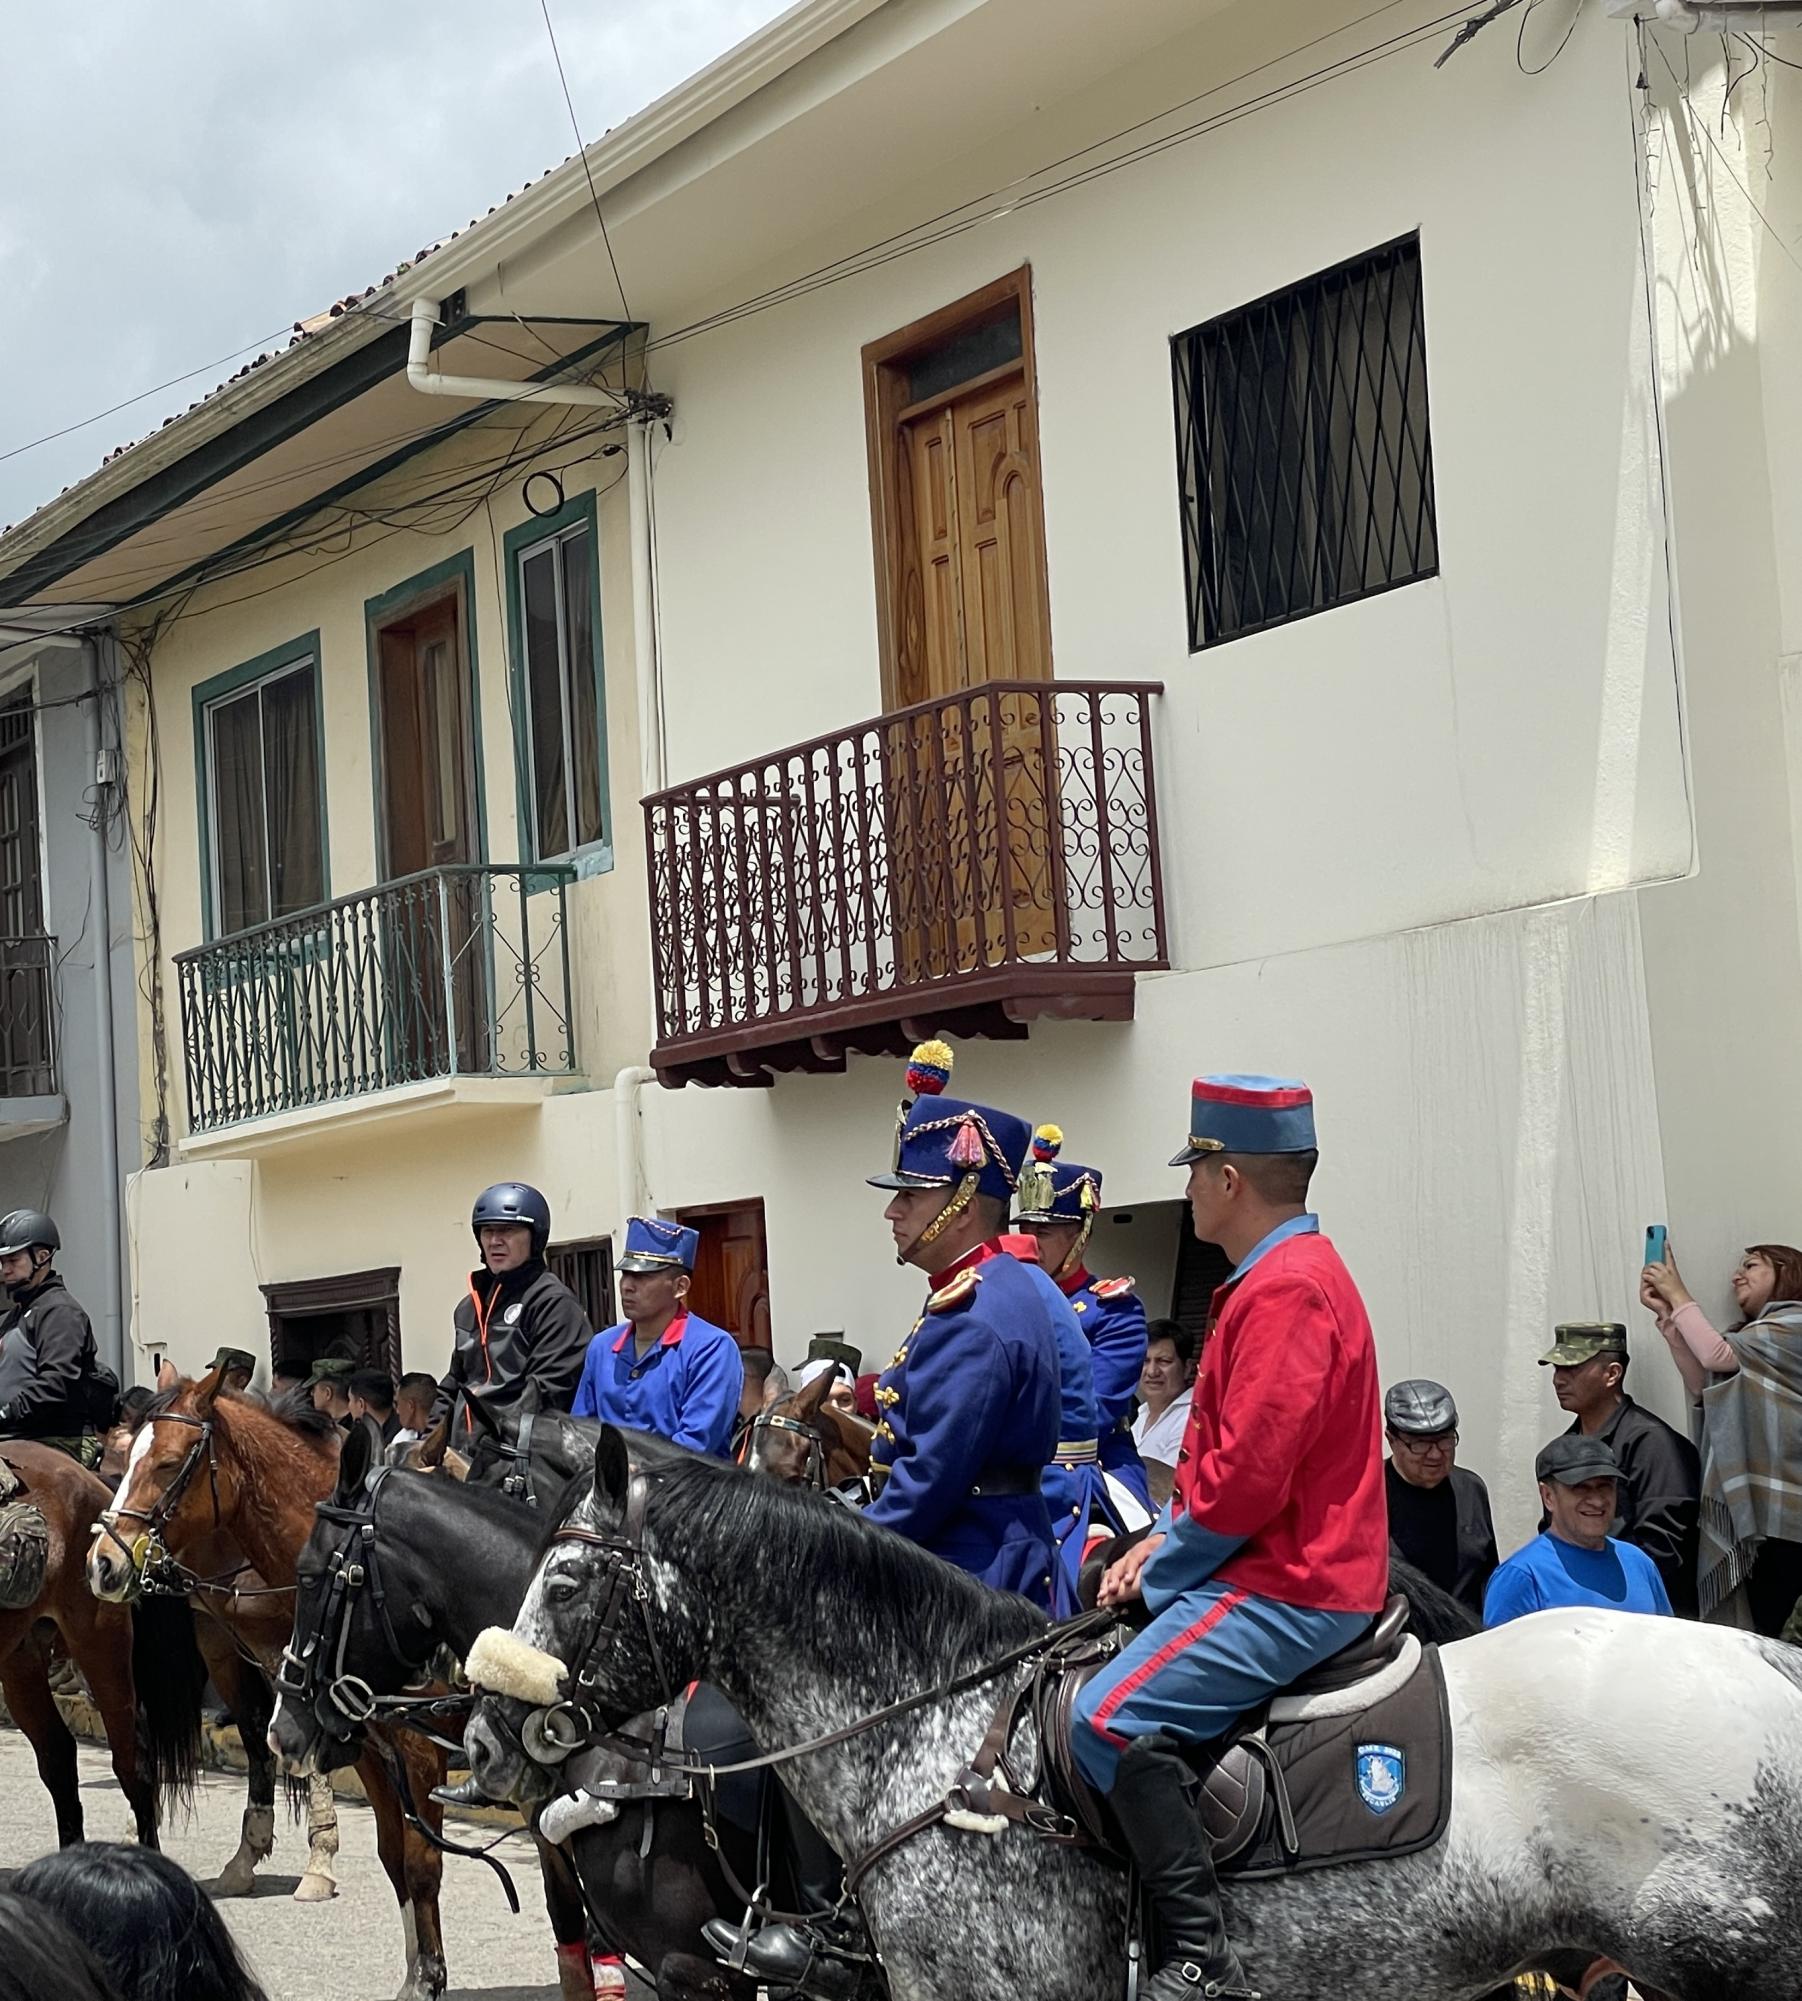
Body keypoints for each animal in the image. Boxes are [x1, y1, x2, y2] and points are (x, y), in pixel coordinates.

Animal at [89, 1368, 458, 2000]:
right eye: (123, 1456)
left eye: (167, 1463)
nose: (102, 1562)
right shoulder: (367, 1746)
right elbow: (393, 1855)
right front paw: (416, 1971)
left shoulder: (417, 1750)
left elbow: (419, 1862)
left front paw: (428, 1975)